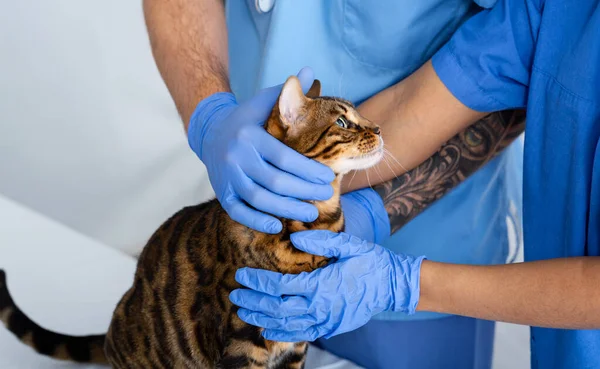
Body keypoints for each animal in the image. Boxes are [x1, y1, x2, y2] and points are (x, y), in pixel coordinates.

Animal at [0, 76, 384, 366]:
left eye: (360, 116)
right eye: (342, 123)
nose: (379, 128)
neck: (317, 221)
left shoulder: (298, 337)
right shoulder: (245, 341)